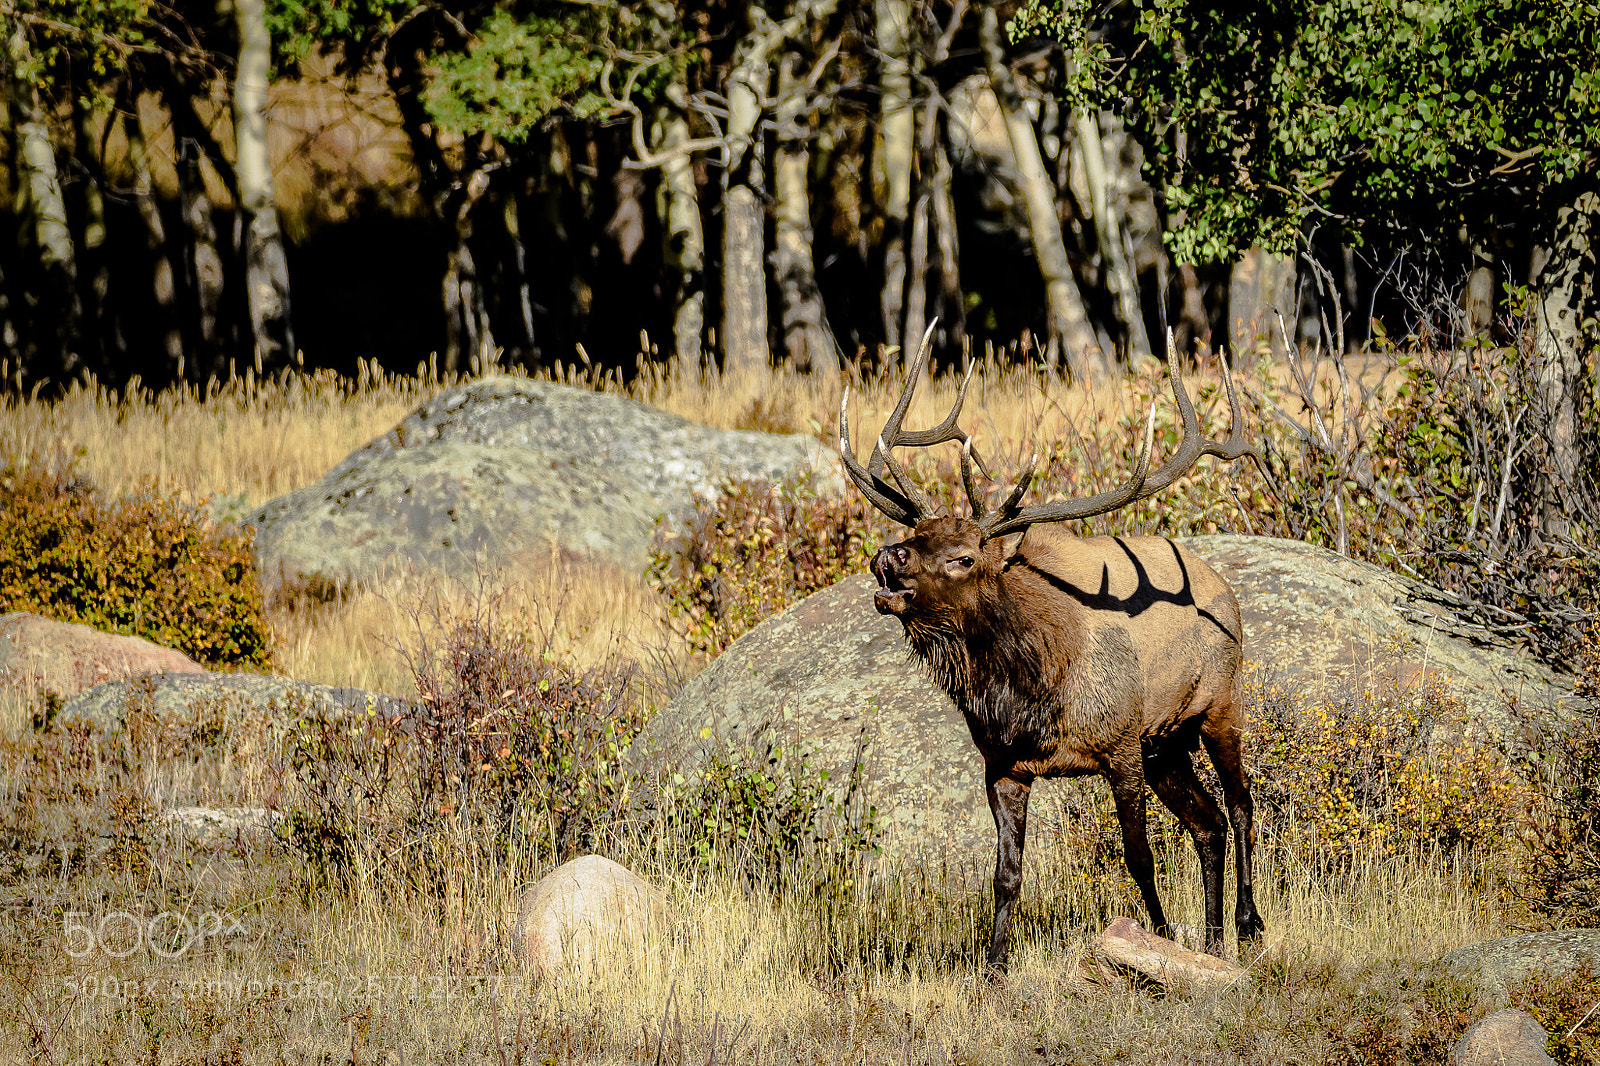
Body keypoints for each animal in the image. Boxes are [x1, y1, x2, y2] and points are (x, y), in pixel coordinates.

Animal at [839, 326, 1264, 976]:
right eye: (916, 534)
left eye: (963, 557)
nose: (888, 556)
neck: (1030, 691)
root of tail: (1226, 589)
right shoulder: (1003, 764)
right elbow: (1005, 874)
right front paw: (993, 967)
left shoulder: (1120, 744)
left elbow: (1138, 857)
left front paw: (1157, 938)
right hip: (1166, 743)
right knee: (1209, 822)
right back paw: (1213, 940)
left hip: (1219, 705)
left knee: (1241, 804)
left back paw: (1246, 925)